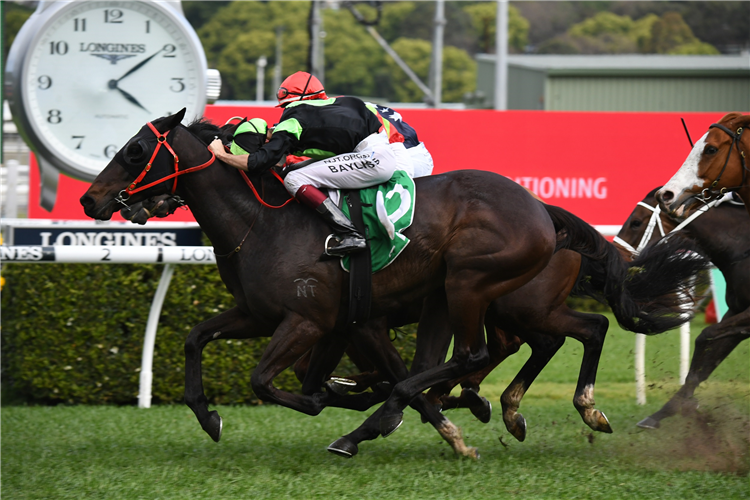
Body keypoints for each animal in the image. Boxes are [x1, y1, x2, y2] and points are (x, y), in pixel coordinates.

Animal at [612, 189, 748, 428]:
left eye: (636, 222)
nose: (617, 256)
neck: (742, 247)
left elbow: (705, 336)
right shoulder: (736, 313)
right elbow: (707, 362)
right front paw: (665, 411)